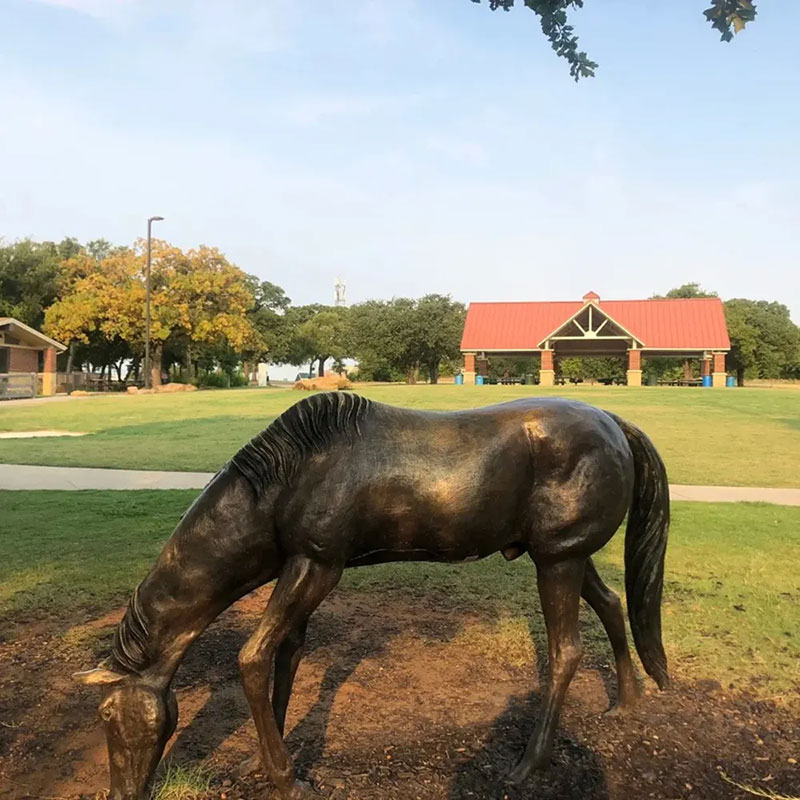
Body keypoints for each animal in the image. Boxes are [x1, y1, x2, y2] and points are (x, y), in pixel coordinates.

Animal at [73, 394, 668, 800]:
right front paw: (261, 764)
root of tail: (612, 421)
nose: (120, 795)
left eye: (110, 717)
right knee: (613, 605)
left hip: (559, 563)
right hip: (566, 559)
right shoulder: (300, 571)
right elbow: (285, 658)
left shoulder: (318, 568)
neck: (287, 478)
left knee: (566, 652)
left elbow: (253, 659)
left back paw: (529, 764)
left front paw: (286, 780)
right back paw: (628, 702)